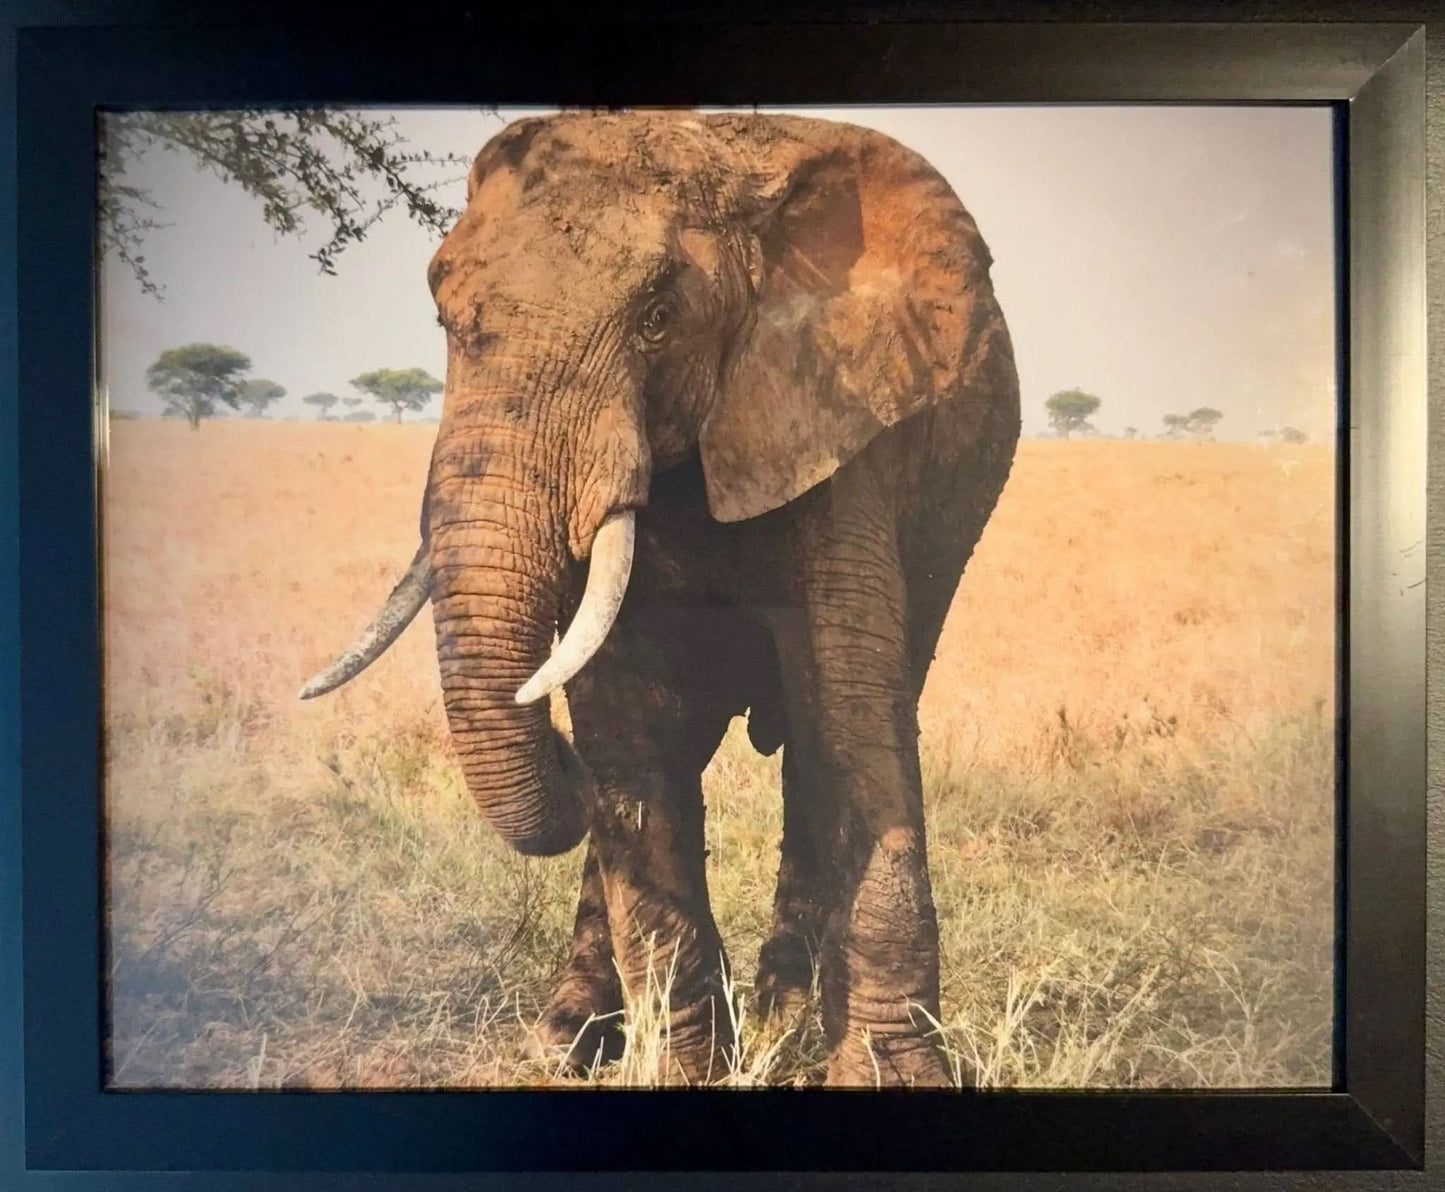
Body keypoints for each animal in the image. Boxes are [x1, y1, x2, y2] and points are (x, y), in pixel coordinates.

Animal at [301, 110, 1020, 1087]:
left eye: (656, 321)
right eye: (445, 318)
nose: (552, 751)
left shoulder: (840, 421)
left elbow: (853, 713)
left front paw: (887, 1075)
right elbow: (625, 718)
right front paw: (684, 1071)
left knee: (820, 734)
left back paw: (783, 1020)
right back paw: (567, 1037)